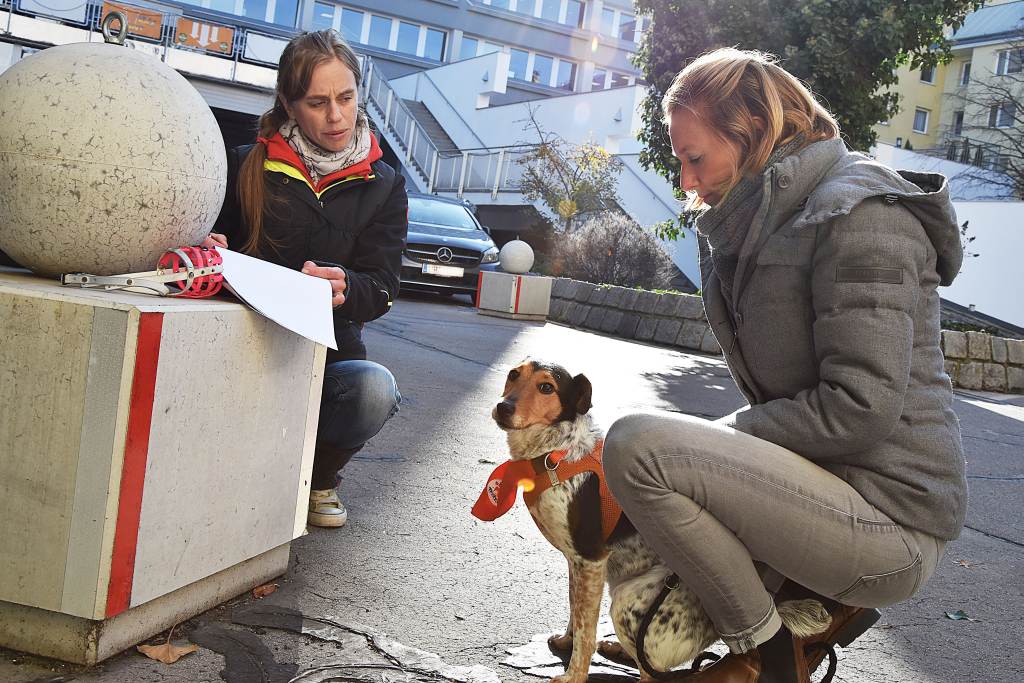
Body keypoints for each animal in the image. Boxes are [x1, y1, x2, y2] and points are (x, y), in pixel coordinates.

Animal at [481, 360, 831, 679]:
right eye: (513, 374)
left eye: (546, 387)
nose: (503, 407)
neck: (557, 453)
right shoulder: (577, 562)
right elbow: (575, 611)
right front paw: (566, 641)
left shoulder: (590, 559)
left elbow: (586, 630)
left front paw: (573, 675)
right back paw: (620, 649)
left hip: (627, 600)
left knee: (651, 672)